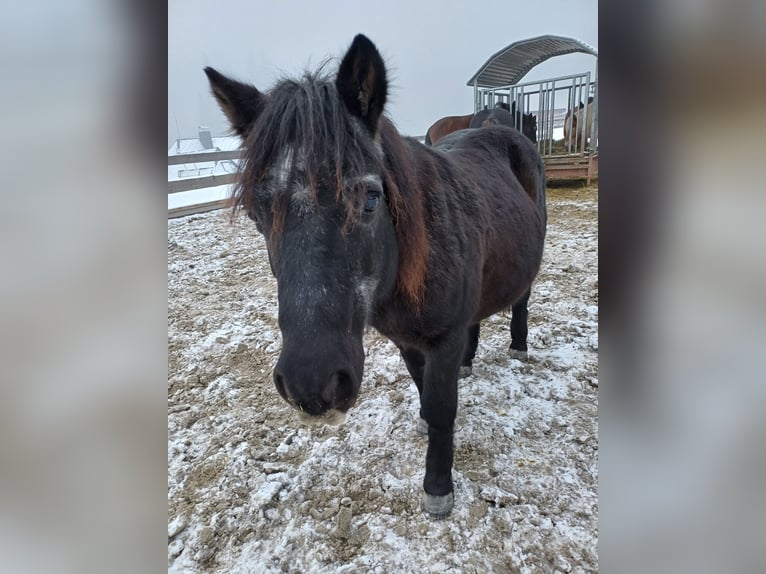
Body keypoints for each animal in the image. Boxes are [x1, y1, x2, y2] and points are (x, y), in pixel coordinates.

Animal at [204, 34, 547, 516]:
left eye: (369, 199)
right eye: (257, 213)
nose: (312, 385)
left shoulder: (441, 339)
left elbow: (442, 407)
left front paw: (438, 488)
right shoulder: (406, 340)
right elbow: (425, 391)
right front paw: (426, 424)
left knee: (522, 299)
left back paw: (518, 346)